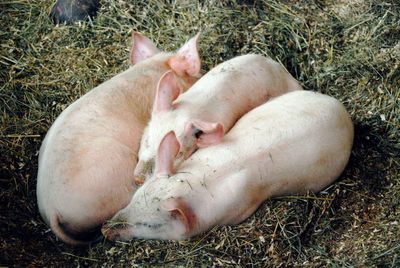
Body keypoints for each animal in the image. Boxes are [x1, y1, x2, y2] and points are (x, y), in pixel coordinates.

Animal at [101, 90, 354, 241]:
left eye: (149, 225)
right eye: (135, 197)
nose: (104, 229)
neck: (198, 182)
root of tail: (342, 111)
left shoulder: (238, 210)